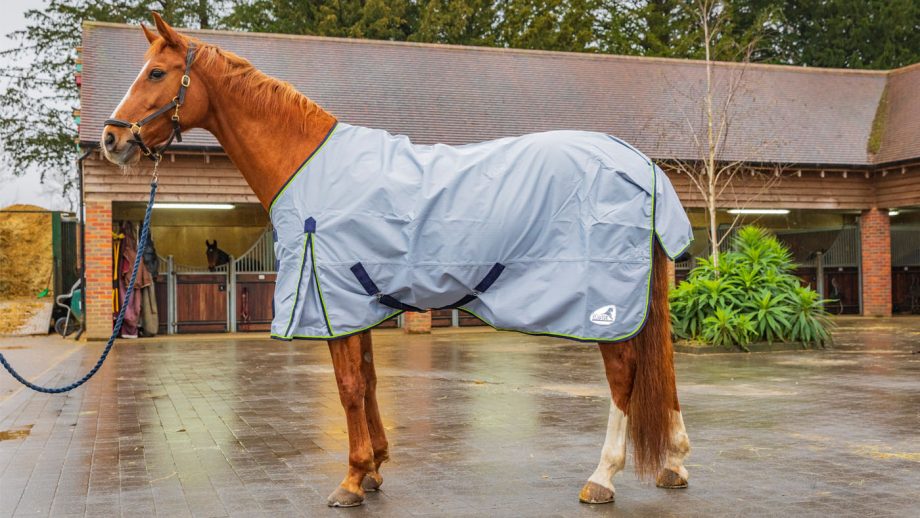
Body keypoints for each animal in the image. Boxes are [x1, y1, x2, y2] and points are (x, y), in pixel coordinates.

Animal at [101, 13, 691, 508]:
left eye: (156, 72)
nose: (110, 139)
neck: (307, 163)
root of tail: (639, 164)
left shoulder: (332, 300)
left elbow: (348, 387)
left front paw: (350, 478)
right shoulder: (355, 301)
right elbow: (368, 380)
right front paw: (375, 468)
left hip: (603, 306)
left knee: (624, 377)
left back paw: (602, 477)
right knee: (662, 368)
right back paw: (675, 464)